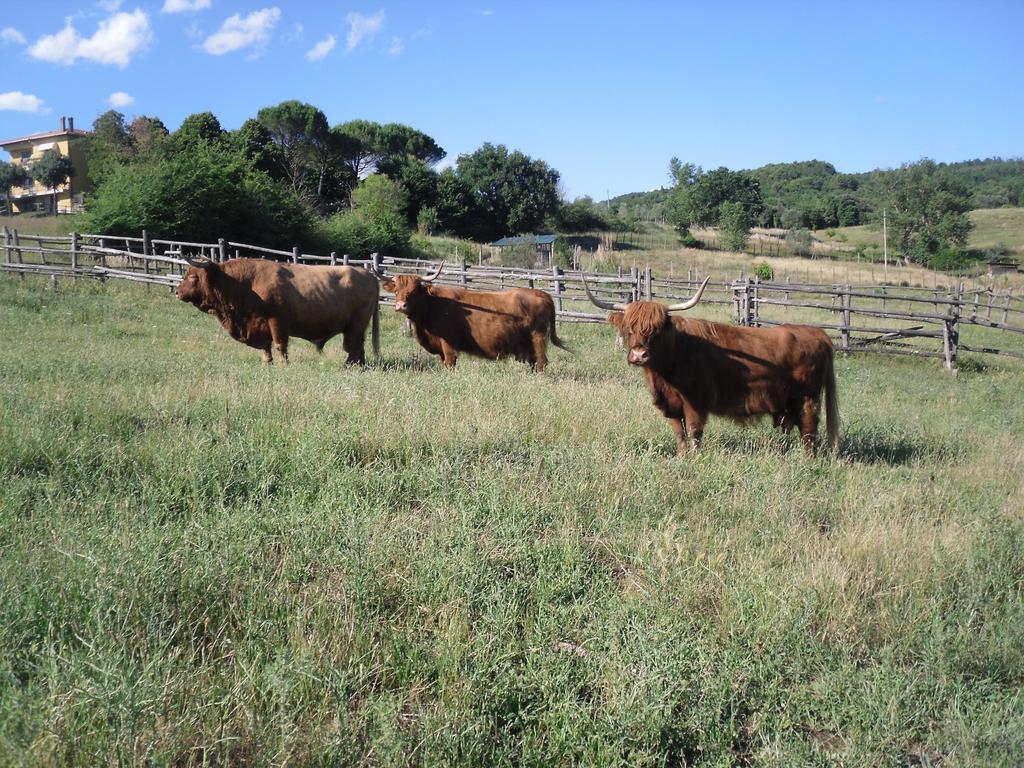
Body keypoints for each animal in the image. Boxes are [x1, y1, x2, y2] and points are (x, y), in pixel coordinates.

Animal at [176, 259, 380, 366]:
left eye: (193, 277)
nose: (177, 292)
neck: (247, 284)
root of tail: (367, 273)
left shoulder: (277, 321)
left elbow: (280, 344)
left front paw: (283, 365)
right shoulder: (261, 325)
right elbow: (266, 346)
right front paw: (267, 363)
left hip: (356, 325)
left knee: (354, 345)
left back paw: (349, 366)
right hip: (357, 327)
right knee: (358, 345)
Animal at [380, 262, 569, 372]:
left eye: (413, 291)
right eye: (396, 291)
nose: (400, 306)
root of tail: (540, 293)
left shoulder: (449, 345)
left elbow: (450, 364)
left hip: (538, 338)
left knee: (542, 362)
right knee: (534, 362)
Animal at [589, 278, 835, 454]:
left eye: (656, 329)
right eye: (630, 329)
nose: (639, 355)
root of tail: (817, 333)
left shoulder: (696, 401)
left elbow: (694, 431)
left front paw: (695, 459)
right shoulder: (671, 404)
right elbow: (680, 434)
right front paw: (682, 457)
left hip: (807, 398)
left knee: (809, 430)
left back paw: (806, 460)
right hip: (788, 401)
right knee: (792, 426)